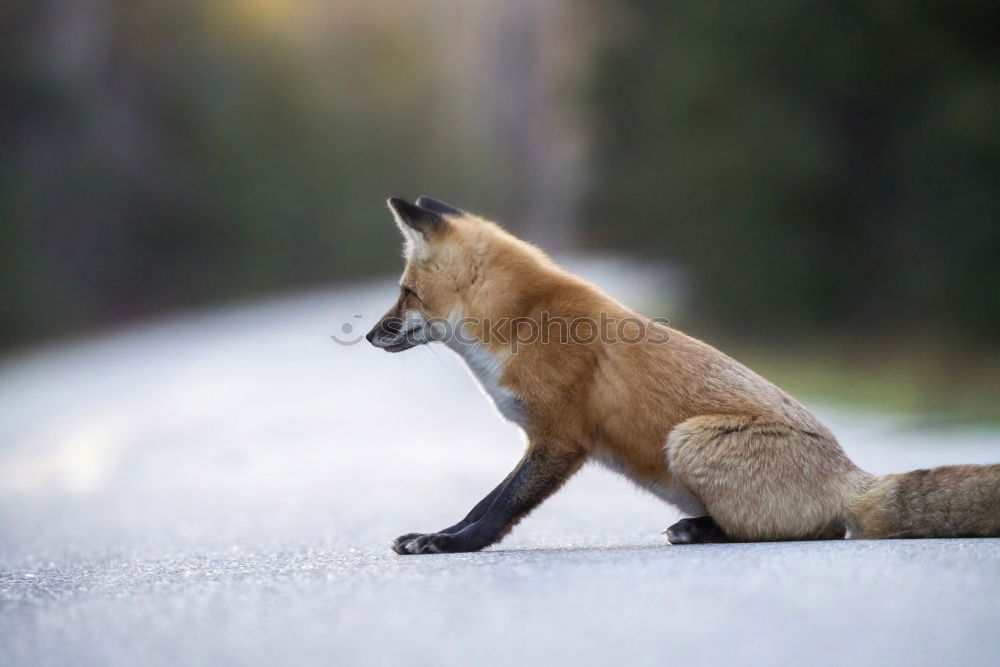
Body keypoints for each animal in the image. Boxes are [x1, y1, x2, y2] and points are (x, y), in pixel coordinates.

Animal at [366, 196, 1000, 556]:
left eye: (406, 293)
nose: (371, 335)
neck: (521, 323)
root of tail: (853, 475)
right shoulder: (548, 441)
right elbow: (486, 501)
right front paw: (442, 536)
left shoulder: (560, 438)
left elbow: (497, 506)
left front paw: (449, 544)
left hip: (689, 439)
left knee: (810, 532)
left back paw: (700, 532)